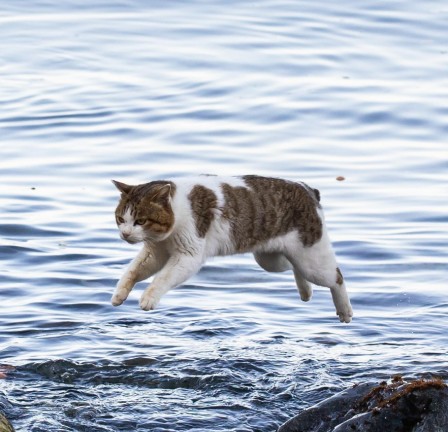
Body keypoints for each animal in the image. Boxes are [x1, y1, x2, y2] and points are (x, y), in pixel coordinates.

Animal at [111, 175, 354, 320]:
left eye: (140, 221)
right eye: (121, 219)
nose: (125, 234)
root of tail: (308, 190)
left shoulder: (188, 255)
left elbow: (162, 278)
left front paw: (149, 297)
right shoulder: (155, 251)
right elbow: (133, 271)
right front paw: (120, 293)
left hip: (312, 260)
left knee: (336, 276)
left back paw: (344, 310)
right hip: (271, 259)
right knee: (293, 266)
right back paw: (305, 290)